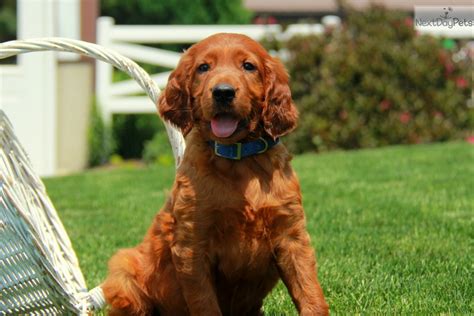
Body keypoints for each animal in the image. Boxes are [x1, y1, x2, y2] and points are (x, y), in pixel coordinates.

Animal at [102, 33, 328, 314]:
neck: (239, 159)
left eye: (248, 66)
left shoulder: (291, 235)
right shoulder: (192, 244)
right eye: (203, 67)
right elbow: (204, 302)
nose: (223, 92)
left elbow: (309, 291)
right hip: (123, 268)